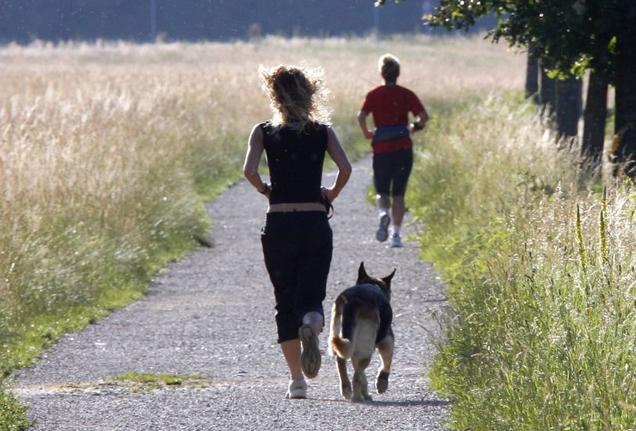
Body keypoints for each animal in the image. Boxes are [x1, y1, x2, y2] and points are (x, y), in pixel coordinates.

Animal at [330, 262, 396, 404]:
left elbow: (362, 376)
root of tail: (350, 302)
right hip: (367, 350)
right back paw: (357, 397)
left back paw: (346, 389)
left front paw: (366, 392)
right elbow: (387, 362)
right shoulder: (387, 340)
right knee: (356, 376)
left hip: (340, 339)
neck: (373, 284)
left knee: (342, 362)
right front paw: (382, 384)